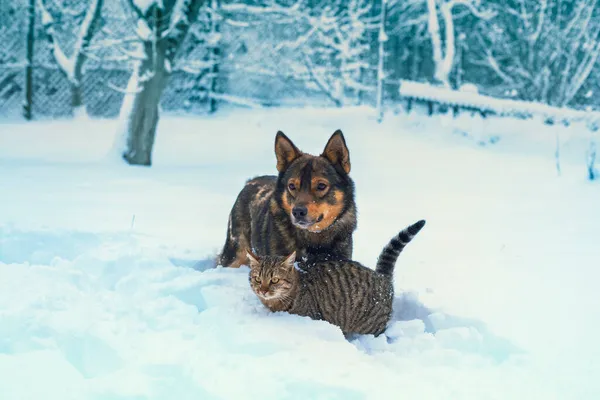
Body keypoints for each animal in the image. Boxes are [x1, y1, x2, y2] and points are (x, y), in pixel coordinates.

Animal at [219, 131, 356, 268]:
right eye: (292, 186)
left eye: (321, 186)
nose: (298, 212)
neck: (314, 237)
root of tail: (251, 181)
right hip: (236, 254)